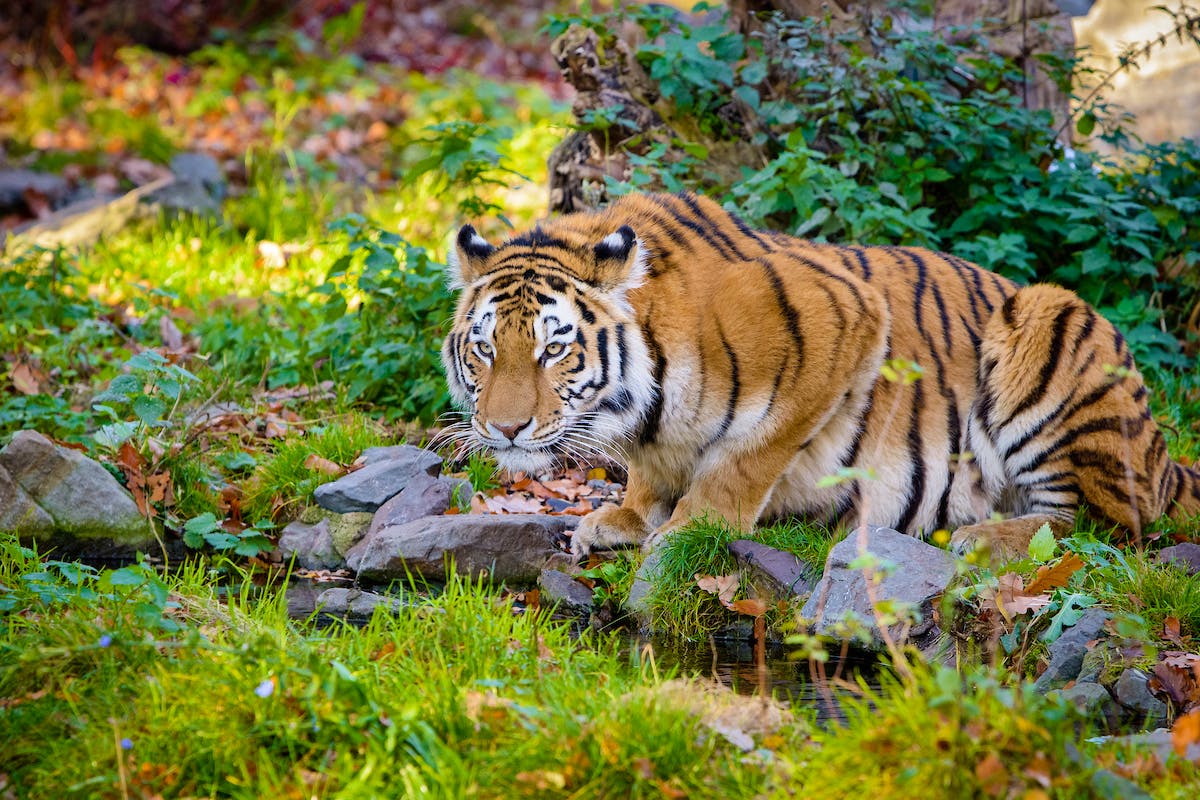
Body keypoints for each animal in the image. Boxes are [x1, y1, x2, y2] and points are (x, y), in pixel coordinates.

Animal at [441, 190, 1200, 561]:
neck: (641, 406)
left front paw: (687, 531)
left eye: (553, 349)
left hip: (1050, 322)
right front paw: (625, 517)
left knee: (1107, 525)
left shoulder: (843, 322)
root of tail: (1166, 461)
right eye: (485, 349)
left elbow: (743, 458)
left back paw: (986, 539)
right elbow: (655, 473)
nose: (506, 429)